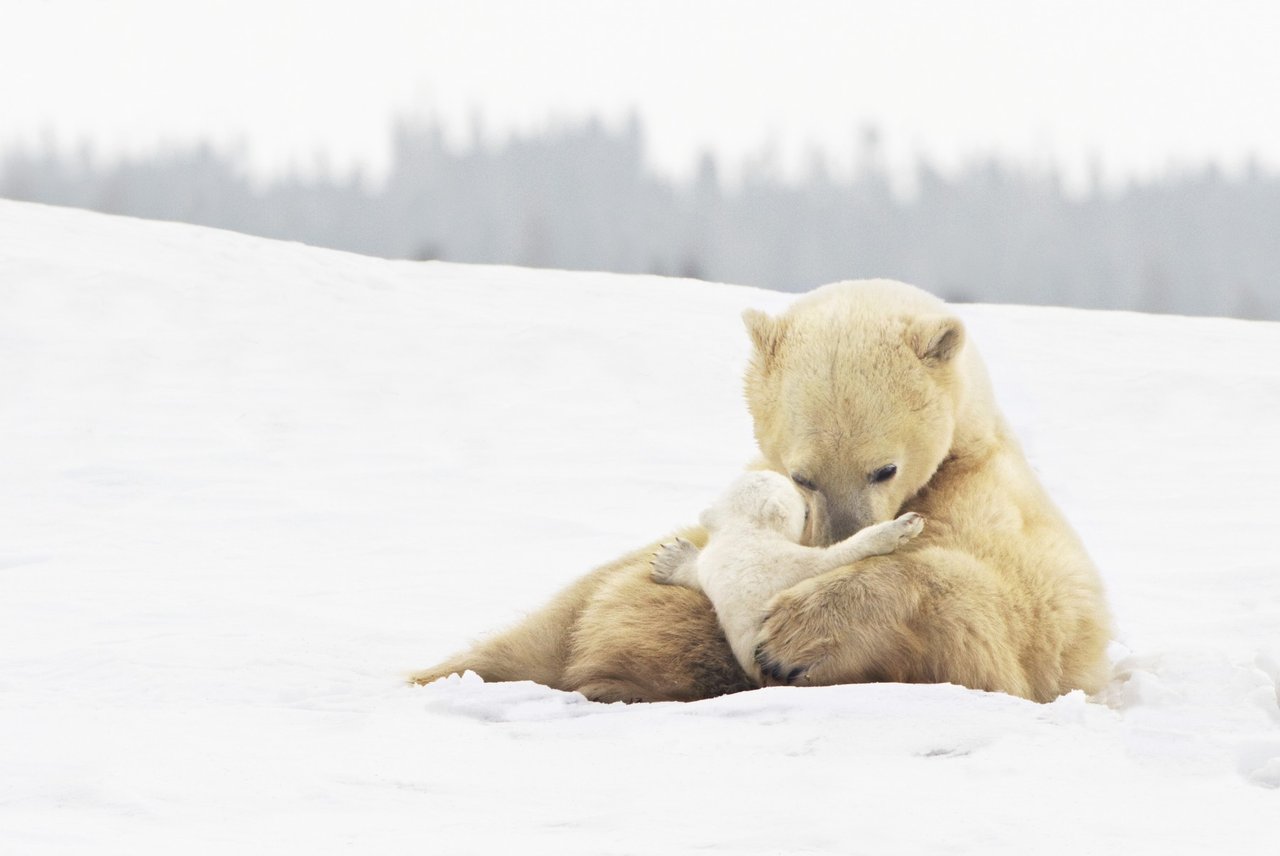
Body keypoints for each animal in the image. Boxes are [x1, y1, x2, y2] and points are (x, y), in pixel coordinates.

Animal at [655, 468, 926, 680]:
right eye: (804, 508)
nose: (808, 507)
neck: (745, 533)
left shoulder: (714, 560)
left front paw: (670, 558)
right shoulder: (780, 561)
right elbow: (829, 560)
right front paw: (900, 528)